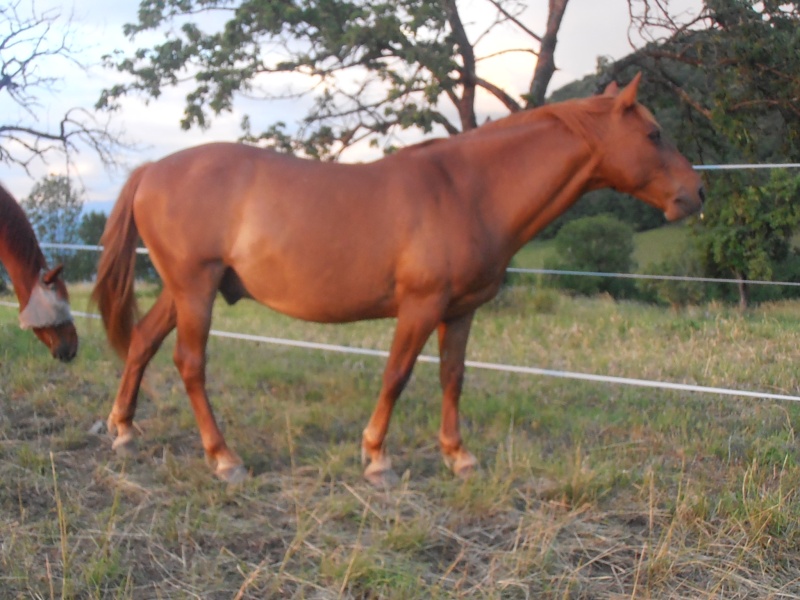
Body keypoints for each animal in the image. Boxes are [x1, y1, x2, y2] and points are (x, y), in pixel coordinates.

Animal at [92, 76, 700, 488]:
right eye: (654, 133)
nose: (697, 193)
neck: (467, 189)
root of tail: (151, 171)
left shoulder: (460, 311)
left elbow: (452, 377)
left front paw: (458, 455)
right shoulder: (420, 307)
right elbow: (397, 376)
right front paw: (377, 459)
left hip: (180, 292)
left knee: (142, 343)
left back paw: (123, 431)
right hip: (195, 290)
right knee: (190, 364)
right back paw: (224, 458)